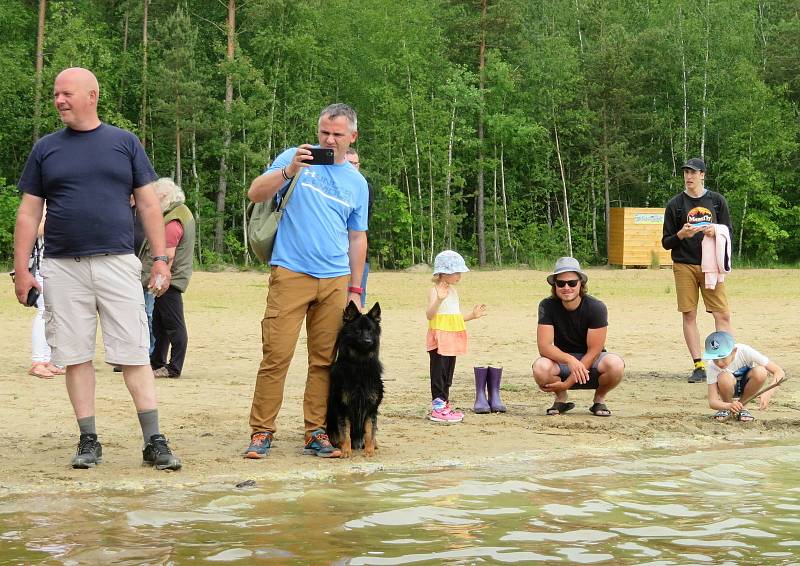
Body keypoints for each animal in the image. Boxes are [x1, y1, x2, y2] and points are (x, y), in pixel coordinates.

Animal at [328, 302, 384, 458]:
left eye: (370, 330)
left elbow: (370, 431)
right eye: (358, 330)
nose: (368, 341)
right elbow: (345, 432)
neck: (360, 364)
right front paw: (346, 451)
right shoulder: (343, 407)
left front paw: (369, 450)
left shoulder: (371, 408)